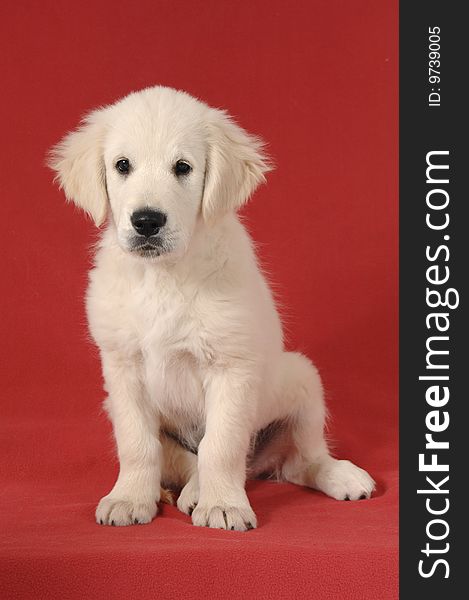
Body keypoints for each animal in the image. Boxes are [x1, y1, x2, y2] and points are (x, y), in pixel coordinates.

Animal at [49, 85, 374, 528]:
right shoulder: (122, 369)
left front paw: (223, 505)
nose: (146, 221)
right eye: (122, 165)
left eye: (183, 167)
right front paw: (130, 497)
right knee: (183, 459)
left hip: (301, 378)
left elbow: (220, 445)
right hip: (114, 406)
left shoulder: (231, 367)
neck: (165, 275)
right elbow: (137, 445)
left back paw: (338, 475)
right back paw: (188, 490)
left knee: (300, 460)